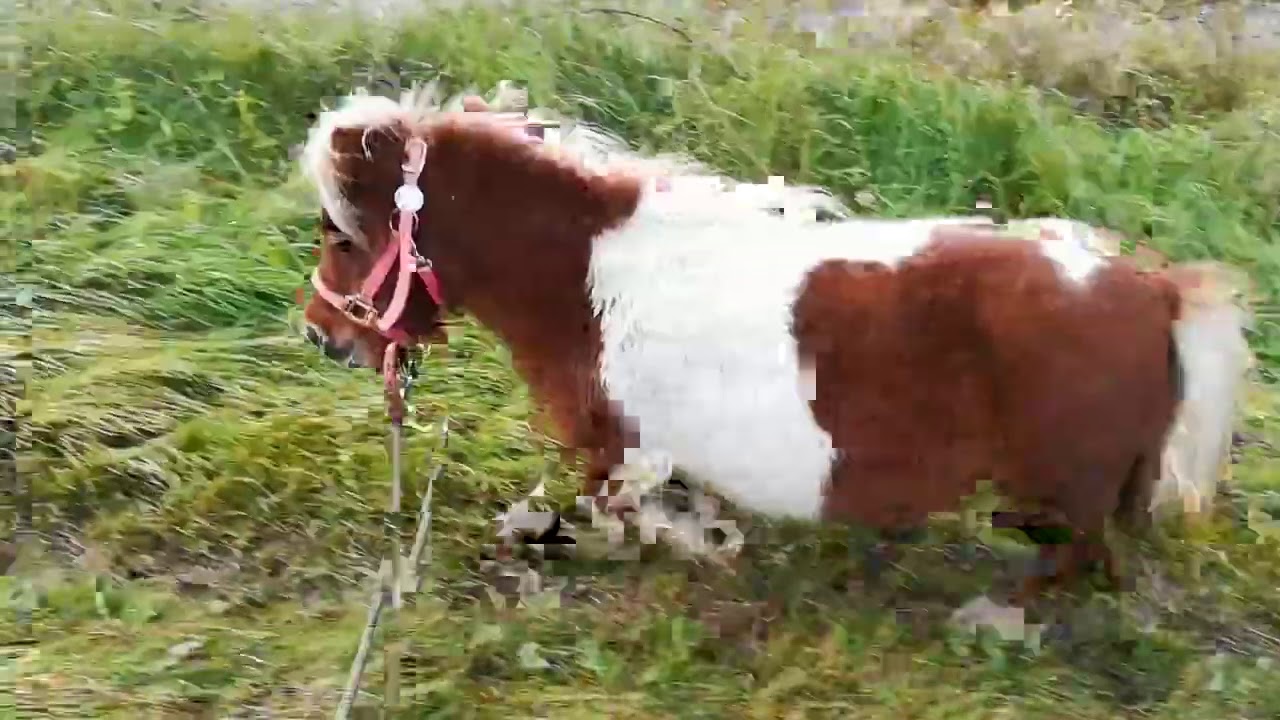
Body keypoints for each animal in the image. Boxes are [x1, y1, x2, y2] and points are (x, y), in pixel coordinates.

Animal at [298, 86, 1252, 603]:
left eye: (341, 234)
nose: (319, 334)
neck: (587, 274)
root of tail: (1155, 289)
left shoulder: (621, 446)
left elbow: (623, 513)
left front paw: (693, 544)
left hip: (1061, 489)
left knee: (1078, 559)